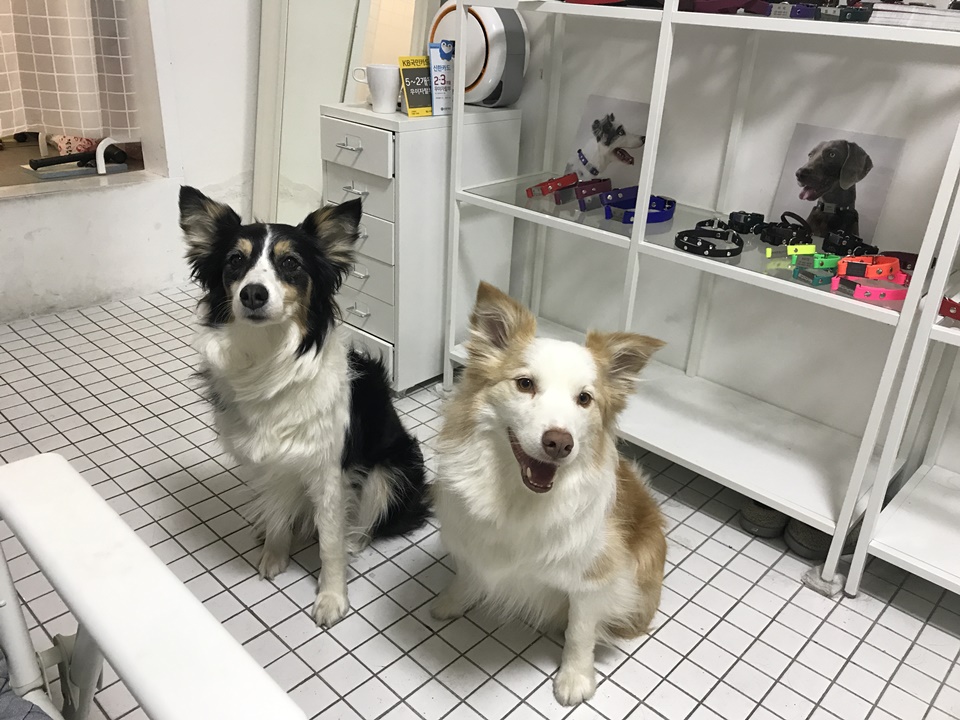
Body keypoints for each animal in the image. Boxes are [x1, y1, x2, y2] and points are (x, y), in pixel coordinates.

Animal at [178, 187, 429, 627]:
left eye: (290, 263)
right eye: (235, 261)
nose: (253, 293)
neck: (271, 358)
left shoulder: (330, 471)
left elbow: (328, 542)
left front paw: (331, 597)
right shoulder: (264, 462)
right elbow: (277, 507)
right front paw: (274, 553)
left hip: (394, 468)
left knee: (367, 522)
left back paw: (353, 540)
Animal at [431, 282, 666, 706]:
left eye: (584, 399)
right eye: (525, 384)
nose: (559, 442)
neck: (520, 498)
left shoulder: (593, 578)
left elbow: (580, 633)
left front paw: (574, 680)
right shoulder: (472, 539)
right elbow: (468, 573)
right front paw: (453, 602)